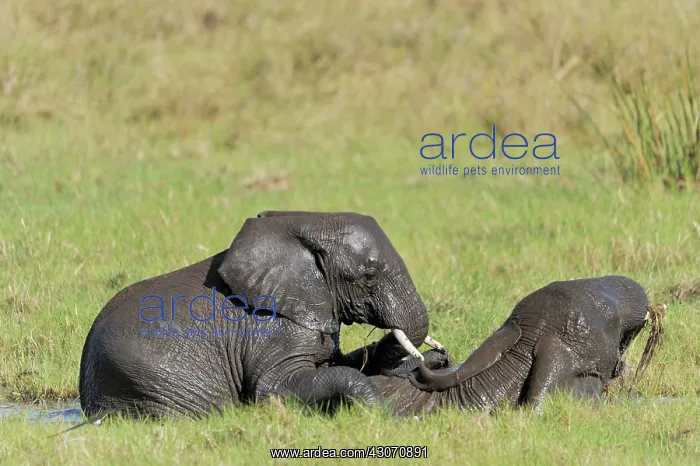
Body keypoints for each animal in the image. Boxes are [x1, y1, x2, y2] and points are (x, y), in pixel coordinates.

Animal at [78, 210, 445, 419]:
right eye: (368, 275)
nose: (440, 355)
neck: (304, 223)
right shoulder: (272, 329)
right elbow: (273, 386)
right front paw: (377, 413)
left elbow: (338, 362)